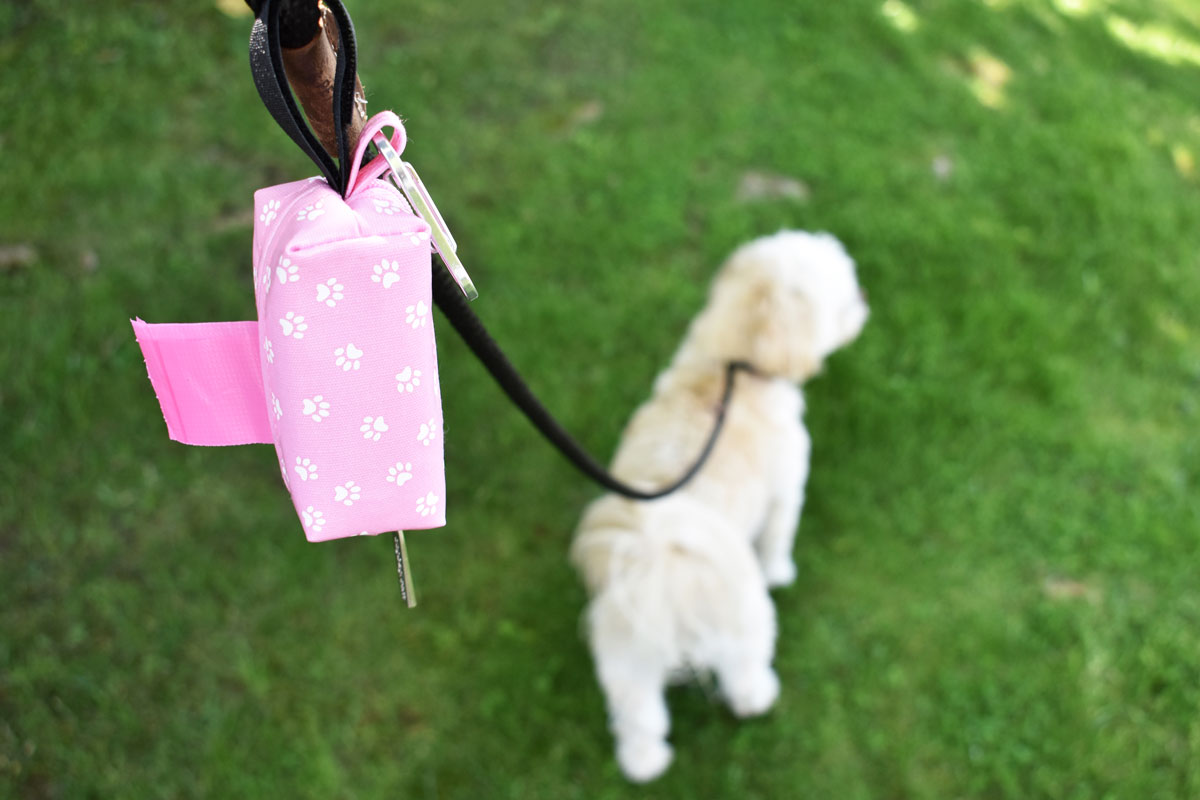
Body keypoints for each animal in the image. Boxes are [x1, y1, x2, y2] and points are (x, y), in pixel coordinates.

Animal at [566, 231, 868, 782]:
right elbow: (778, 538)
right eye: (843, 292)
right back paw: (758, 696)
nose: (863, 297)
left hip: (626, 657)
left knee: (638, 716)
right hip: (743, 619)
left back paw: (644, 763)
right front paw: (781, 571)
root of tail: (662, 570)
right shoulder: (787, 488)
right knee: (744, 670)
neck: (735, 364)